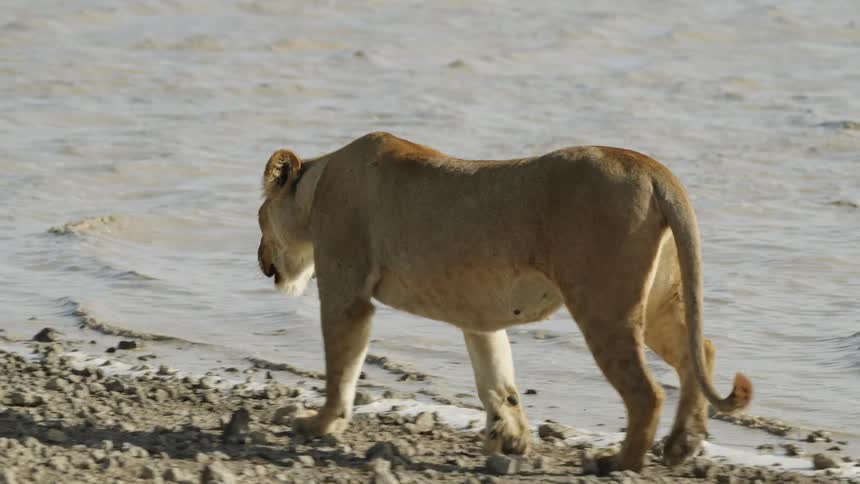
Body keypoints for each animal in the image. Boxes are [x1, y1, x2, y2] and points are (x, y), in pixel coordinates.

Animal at [257, 132, 752, 471]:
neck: (317, 186)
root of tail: (650, 167)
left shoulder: (347, 293)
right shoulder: (477, 314)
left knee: (647, 391)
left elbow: (341, 369)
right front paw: (512, 439)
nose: (258, 258)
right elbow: (496, 377)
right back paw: (681, 446)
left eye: (260, 218)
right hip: (655, 304)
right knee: (699, 353)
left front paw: (319, 424)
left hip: (604, 305)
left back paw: (617, 463)